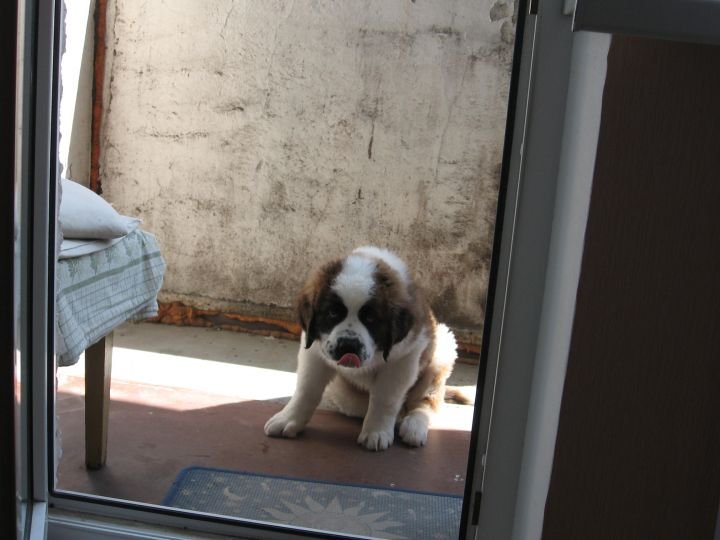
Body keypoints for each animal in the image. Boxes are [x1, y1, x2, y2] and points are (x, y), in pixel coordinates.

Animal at [264, 246, 468, 451]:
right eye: (332, 313)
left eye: (370, 318)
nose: (348, 345)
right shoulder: (314, 351)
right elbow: (307, 390)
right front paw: (288, 419)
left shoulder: (403, 359)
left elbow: (385, 399)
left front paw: (376, 432)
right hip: (344, 395)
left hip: (442, 348)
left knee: (425, 401)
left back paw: (414, 425)